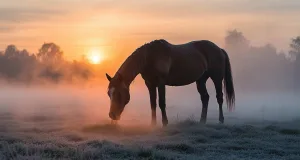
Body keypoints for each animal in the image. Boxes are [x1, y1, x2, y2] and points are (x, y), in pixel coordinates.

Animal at [106, 39, 236, 126]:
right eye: (109, 94)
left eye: (118, 93)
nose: (112, 115)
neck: (149, 57)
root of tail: (219, 49)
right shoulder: (150, 84)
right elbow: (152, 104)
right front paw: (153, 124)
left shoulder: (161, 83)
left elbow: (161, 103)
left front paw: (165, 123)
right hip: (200, 80)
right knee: (205, 98)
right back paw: (202, 121)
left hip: (217, 78)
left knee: (219, 98)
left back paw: (221, 120)